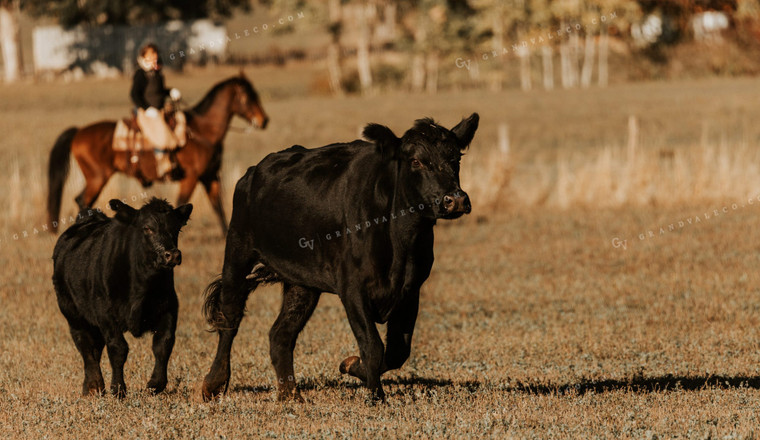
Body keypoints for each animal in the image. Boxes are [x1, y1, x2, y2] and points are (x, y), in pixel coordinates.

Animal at [46, 72, 268, 235]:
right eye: (248, 96)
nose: (264, 120)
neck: (201, 132)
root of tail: (79, 132)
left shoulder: (210, 176)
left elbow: (218, 206)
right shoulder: (191, 178)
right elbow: (181, 203)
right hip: (97, 177)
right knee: (82, 201)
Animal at [51, 198, 191, 398]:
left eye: (176, 228)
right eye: (147, 228)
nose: (172, 255)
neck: (142, 287)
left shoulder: (169, 308)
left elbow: (163, 344)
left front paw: (155, 384)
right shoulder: (105, 313)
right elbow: (118, 348)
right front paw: (118, 389)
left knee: (96, 347)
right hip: (72, 313)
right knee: (85, 345)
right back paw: (93, 386)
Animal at [199, 113, 478, 402]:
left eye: (456, 159)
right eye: (416, 161)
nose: (455, 199)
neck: (400, 241)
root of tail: (253, 172)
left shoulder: (411, 290)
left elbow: (397, 351)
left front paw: (354, 367)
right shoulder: (352, 287)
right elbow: (373, 345)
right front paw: (375, 395)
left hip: (302, 284)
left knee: (280, 335)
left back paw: (291, 395)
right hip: (237, 254)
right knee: (229, 319)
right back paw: (214, 383)